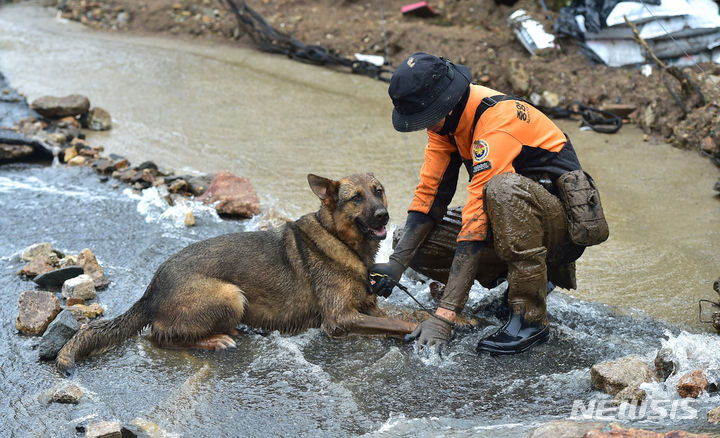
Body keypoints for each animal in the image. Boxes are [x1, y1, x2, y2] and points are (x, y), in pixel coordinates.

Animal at [56, 173, 420, 372]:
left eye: (378, 190)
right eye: (356, 197)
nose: (384, 216)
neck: (341, 240)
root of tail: (152, 289)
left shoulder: (366, 306)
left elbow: (394, 314)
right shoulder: (340, 319)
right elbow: (395, 323)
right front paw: (416, 329)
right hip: (231, 294)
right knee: (160, 336)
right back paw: (216, 339)